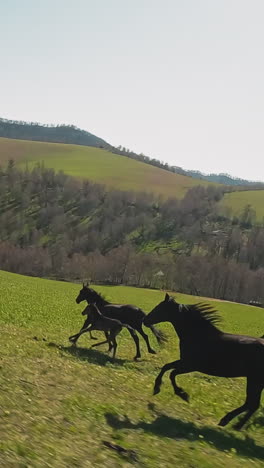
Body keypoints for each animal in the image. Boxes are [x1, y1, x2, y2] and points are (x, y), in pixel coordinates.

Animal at [144, 294, 264, 430]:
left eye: (160, 308)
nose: (145, 320)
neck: (199, 336)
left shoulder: (190, 365)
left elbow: (172, 373)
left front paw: (183, 394)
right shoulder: (184, 362)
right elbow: (166, 367)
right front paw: (157, 388)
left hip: (255, 380)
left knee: (252, 403)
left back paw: (229, 422)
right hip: (256, 381)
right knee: (253, 404)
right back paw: (234, 425)